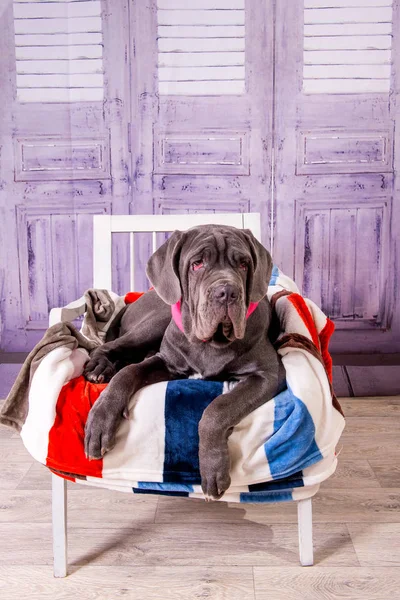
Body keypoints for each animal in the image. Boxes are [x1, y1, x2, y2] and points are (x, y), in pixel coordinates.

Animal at [83, 223, 284, 500]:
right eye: (197, 263)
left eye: (244, 264)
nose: (227, 292)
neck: (211, 342)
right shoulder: (167, 361)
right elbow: (128, 373)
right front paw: (101, 419)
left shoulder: (267, 375)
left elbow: (217, 408)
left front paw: (213, 470)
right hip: (156, 320)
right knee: (108, 346)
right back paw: (100, 366)